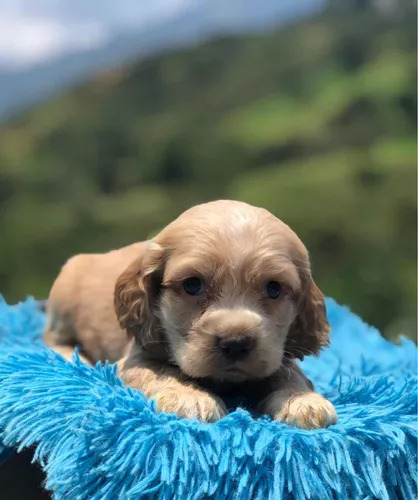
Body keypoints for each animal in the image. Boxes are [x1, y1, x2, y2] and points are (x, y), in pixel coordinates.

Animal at [43, 201, 336, 428]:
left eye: (274, 288)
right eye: (192, 285)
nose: (236, 343)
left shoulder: (275, 354)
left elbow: (289, 373)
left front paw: (302, 400)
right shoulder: (136, 358)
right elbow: (160, 372)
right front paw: (188, 396)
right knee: (52, 339)